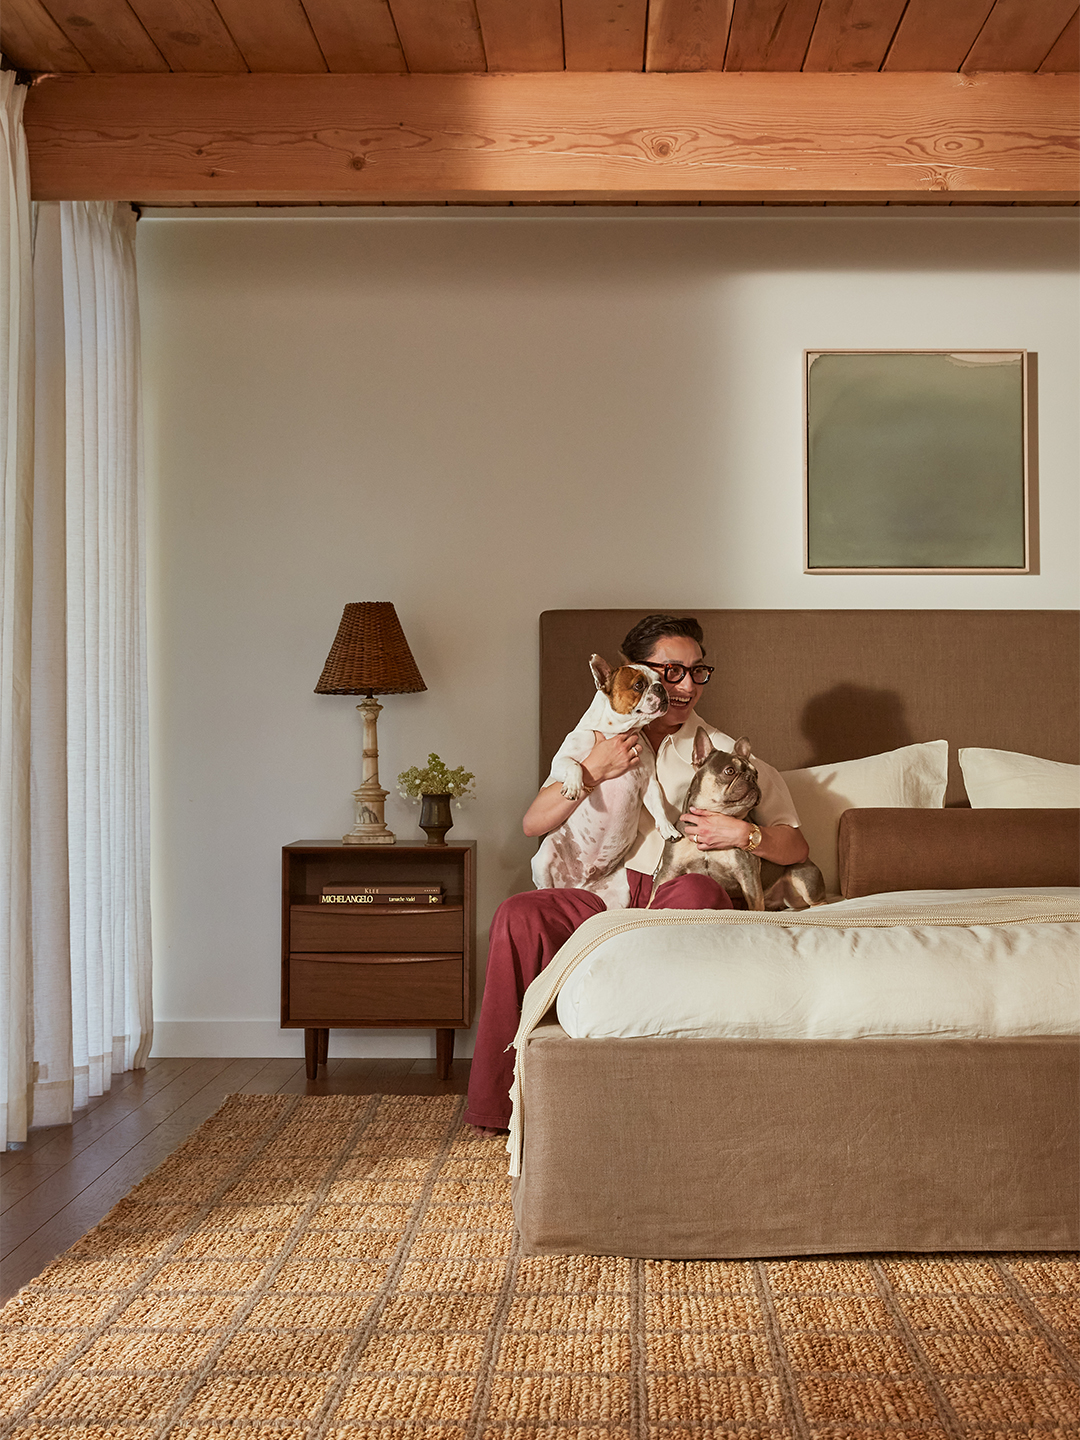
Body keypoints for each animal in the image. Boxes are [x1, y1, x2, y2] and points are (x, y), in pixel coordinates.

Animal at [535, 656, 685, 904]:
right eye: (638, 685)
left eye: (661, 680)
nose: (661, 688)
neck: (615, 733)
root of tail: (579, 884)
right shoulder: (559, 762)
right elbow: (575, 765)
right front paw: (573, 786)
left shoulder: (649, 783)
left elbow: (659, 807)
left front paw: (667, 828)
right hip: (543, 857)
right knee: (544, 887)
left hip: (619, 894)